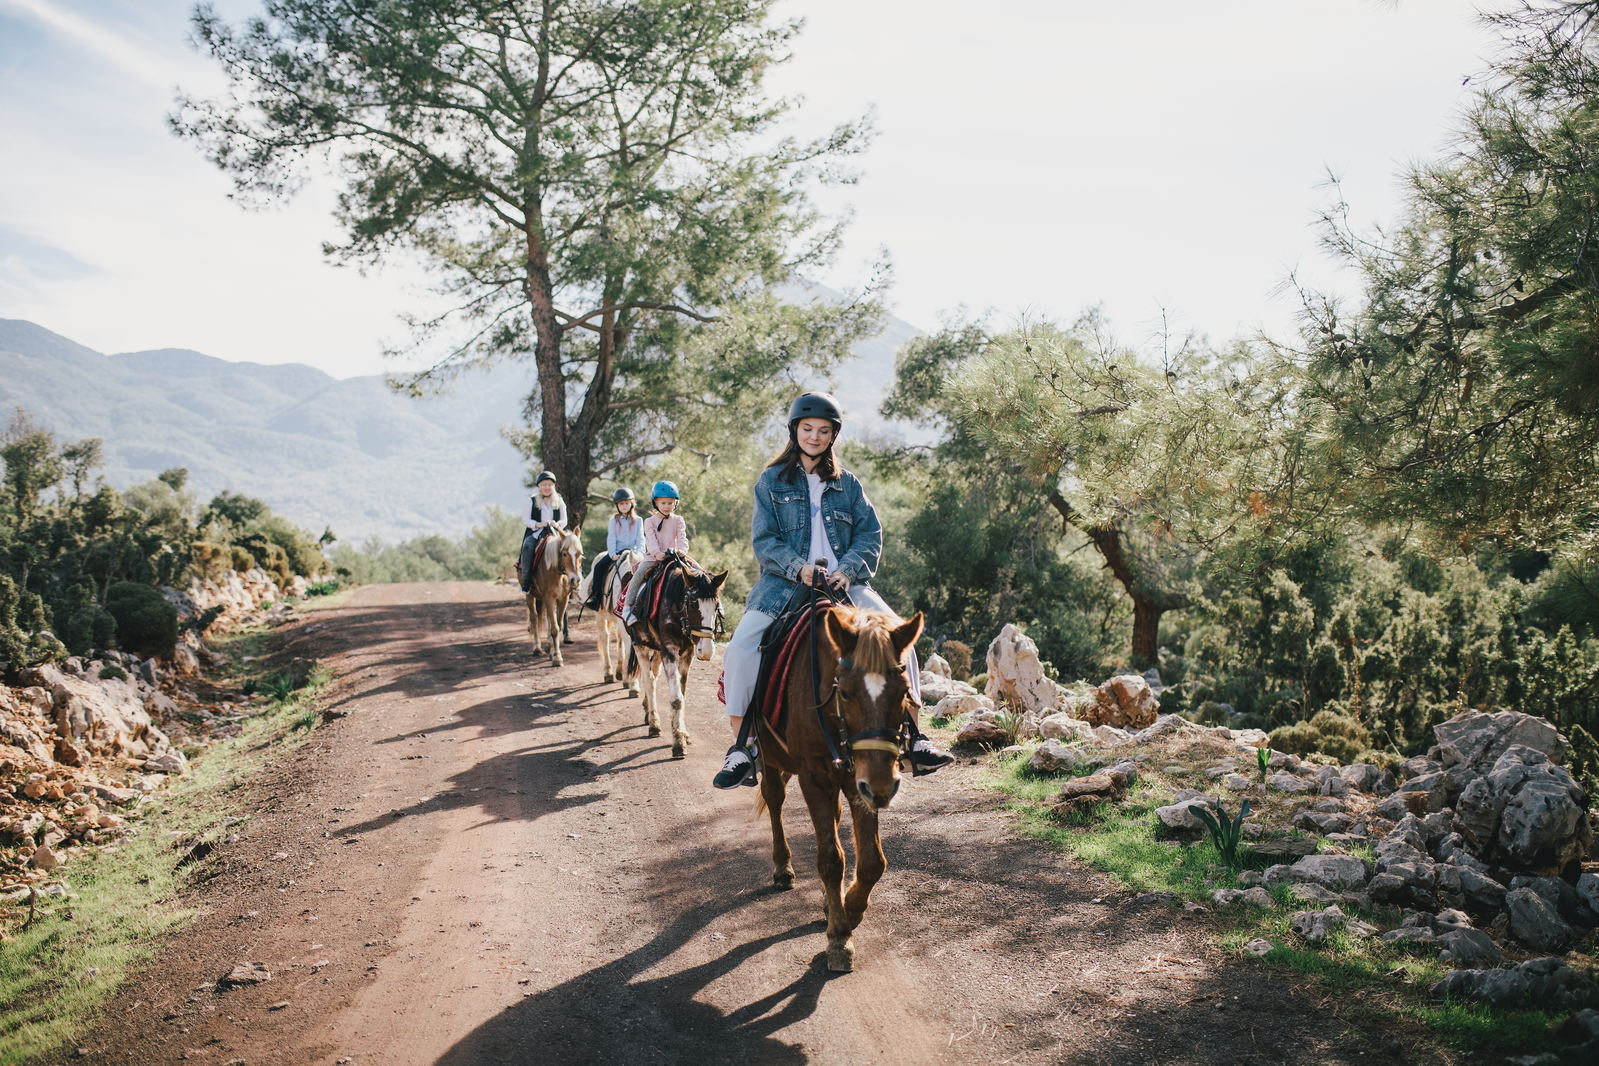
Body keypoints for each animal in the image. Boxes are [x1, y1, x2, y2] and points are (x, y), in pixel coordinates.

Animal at [521, 533, 585, 668]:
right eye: (564, 554)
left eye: (579, 554)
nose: (575, 581)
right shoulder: (549, 597)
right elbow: (554, 629)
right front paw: (557, 657)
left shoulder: (563, 598)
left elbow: (557, 626)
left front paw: (553, 652)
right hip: (530, 595)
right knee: (534, 618)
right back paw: (537, 648)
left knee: (548, 620)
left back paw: (548, 648)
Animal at [582, 549, 642, 693]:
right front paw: (632, 682)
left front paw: (630, 680)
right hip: (599, 615)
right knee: (604, 637)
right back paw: (608, 673)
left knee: (619, 638)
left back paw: (620, 671)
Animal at [626, 559, 729, 757]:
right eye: (693, 604)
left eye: (716, 605)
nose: (706, 651)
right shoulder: (670, 651)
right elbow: (676, 699)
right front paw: (678, 743)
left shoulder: (687, 654)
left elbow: (683, 693)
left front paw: (683, 732)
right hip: (639, 645)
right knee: (649, 680)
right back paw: (654, 724)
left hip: (658, 651)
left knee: (653, 675)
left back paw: (648, 712)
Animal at [757, 604, 927, 971]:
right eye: (845, 692)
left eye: (905, 692)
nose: (883, 785)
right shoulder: (815, 778)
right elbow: (831, 860)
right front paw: (839, 938)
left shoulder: (857, 782)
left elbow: (872, 862)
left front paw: (849, 908)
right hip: (770, 757)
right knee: (775, 801)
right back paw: (782, 867)